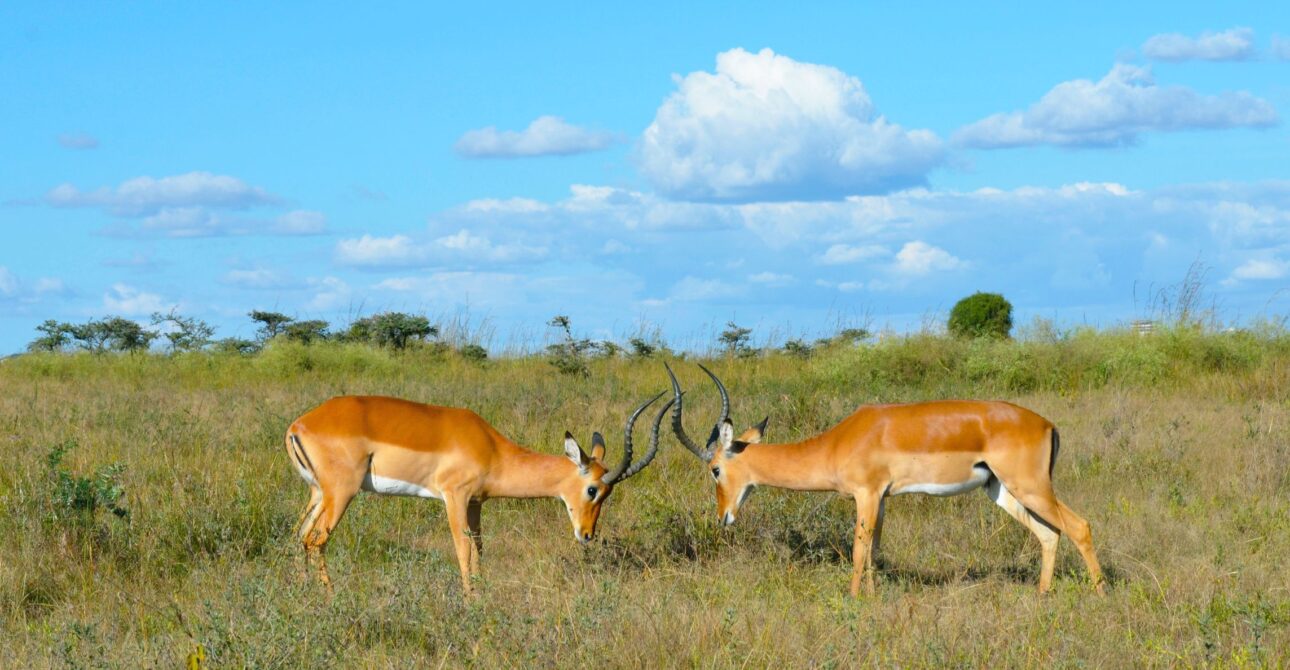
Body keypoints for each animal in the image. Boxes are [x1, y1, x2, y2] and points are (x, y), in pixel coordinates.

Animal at [285, 392, 671, 595]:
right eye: (592, 489)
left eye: (607, 494)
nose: (587, 535)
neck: (492, 449)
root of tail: (298, 425)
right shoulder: (454, 497)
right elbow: (462, 549)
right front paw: (470, 601)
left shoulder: (475, 504)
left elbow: (480, 550)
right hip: (341, 493)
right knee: (317, 540)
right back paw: (330, 597)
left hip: (318, 494)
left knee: (298, 536)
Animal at [664, 363, 1104, 597]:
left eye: (714, 469)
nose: (723, 517)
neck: (837, 442)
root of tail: (1047, 424)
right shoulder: (884, 498)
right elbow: (874, 550)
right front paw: (873, 599)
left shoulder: (867, 494)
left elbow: (859, 551)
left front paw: (853, 600)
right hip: (1001, 490)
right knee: (1049, 534)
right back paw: (1042, 594)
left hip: (1030, 486)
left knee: (1079, 526)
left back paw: (1101, 594)